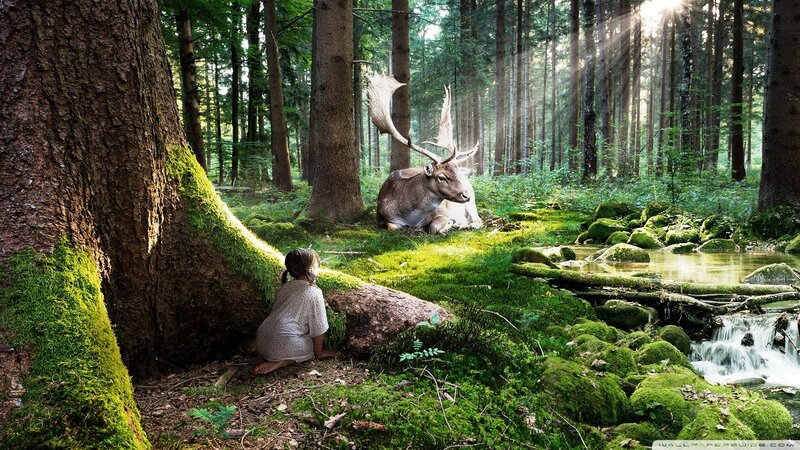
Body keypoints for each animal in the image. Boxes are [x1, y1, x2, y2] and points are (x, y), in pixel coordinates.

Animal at [368, 74, 482, 234]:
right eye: (442, 177)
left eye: (458, 174)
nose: (466, 195)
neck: (411, 218)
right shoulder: (382, 218)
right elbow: (393, 228)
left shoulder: (442, 212)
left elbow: (433, 227)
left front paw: (448, 225)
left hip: (472, 202)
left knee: (478, 218)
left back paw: (467, 224)